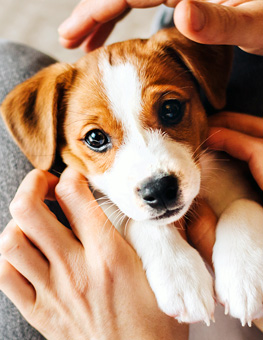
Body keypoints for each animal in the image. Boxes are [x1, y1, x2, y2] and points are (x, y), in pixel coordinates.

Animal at [1, 27, 263, 326]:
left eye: (170, 109)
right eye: (95, 137)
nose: (159, 190)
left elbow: (242, 203)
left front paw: (244, 275)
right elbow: (138, 222)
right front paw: (180, 276)